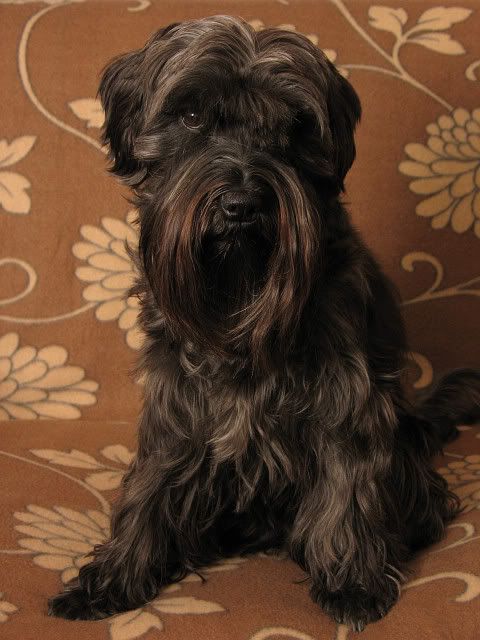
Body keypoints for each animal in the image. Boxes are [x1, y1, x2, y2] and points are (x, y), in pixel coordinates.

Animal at [48, 16, 480, 631]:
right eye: (191, 117)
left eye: (294, 128)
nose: (241, 204)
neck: (241, 297)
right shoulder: (178, 401)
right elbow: (150, 483)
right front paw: (115, 573)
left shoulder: (347, 397)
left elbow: (347, 482)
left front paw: (351, 580)